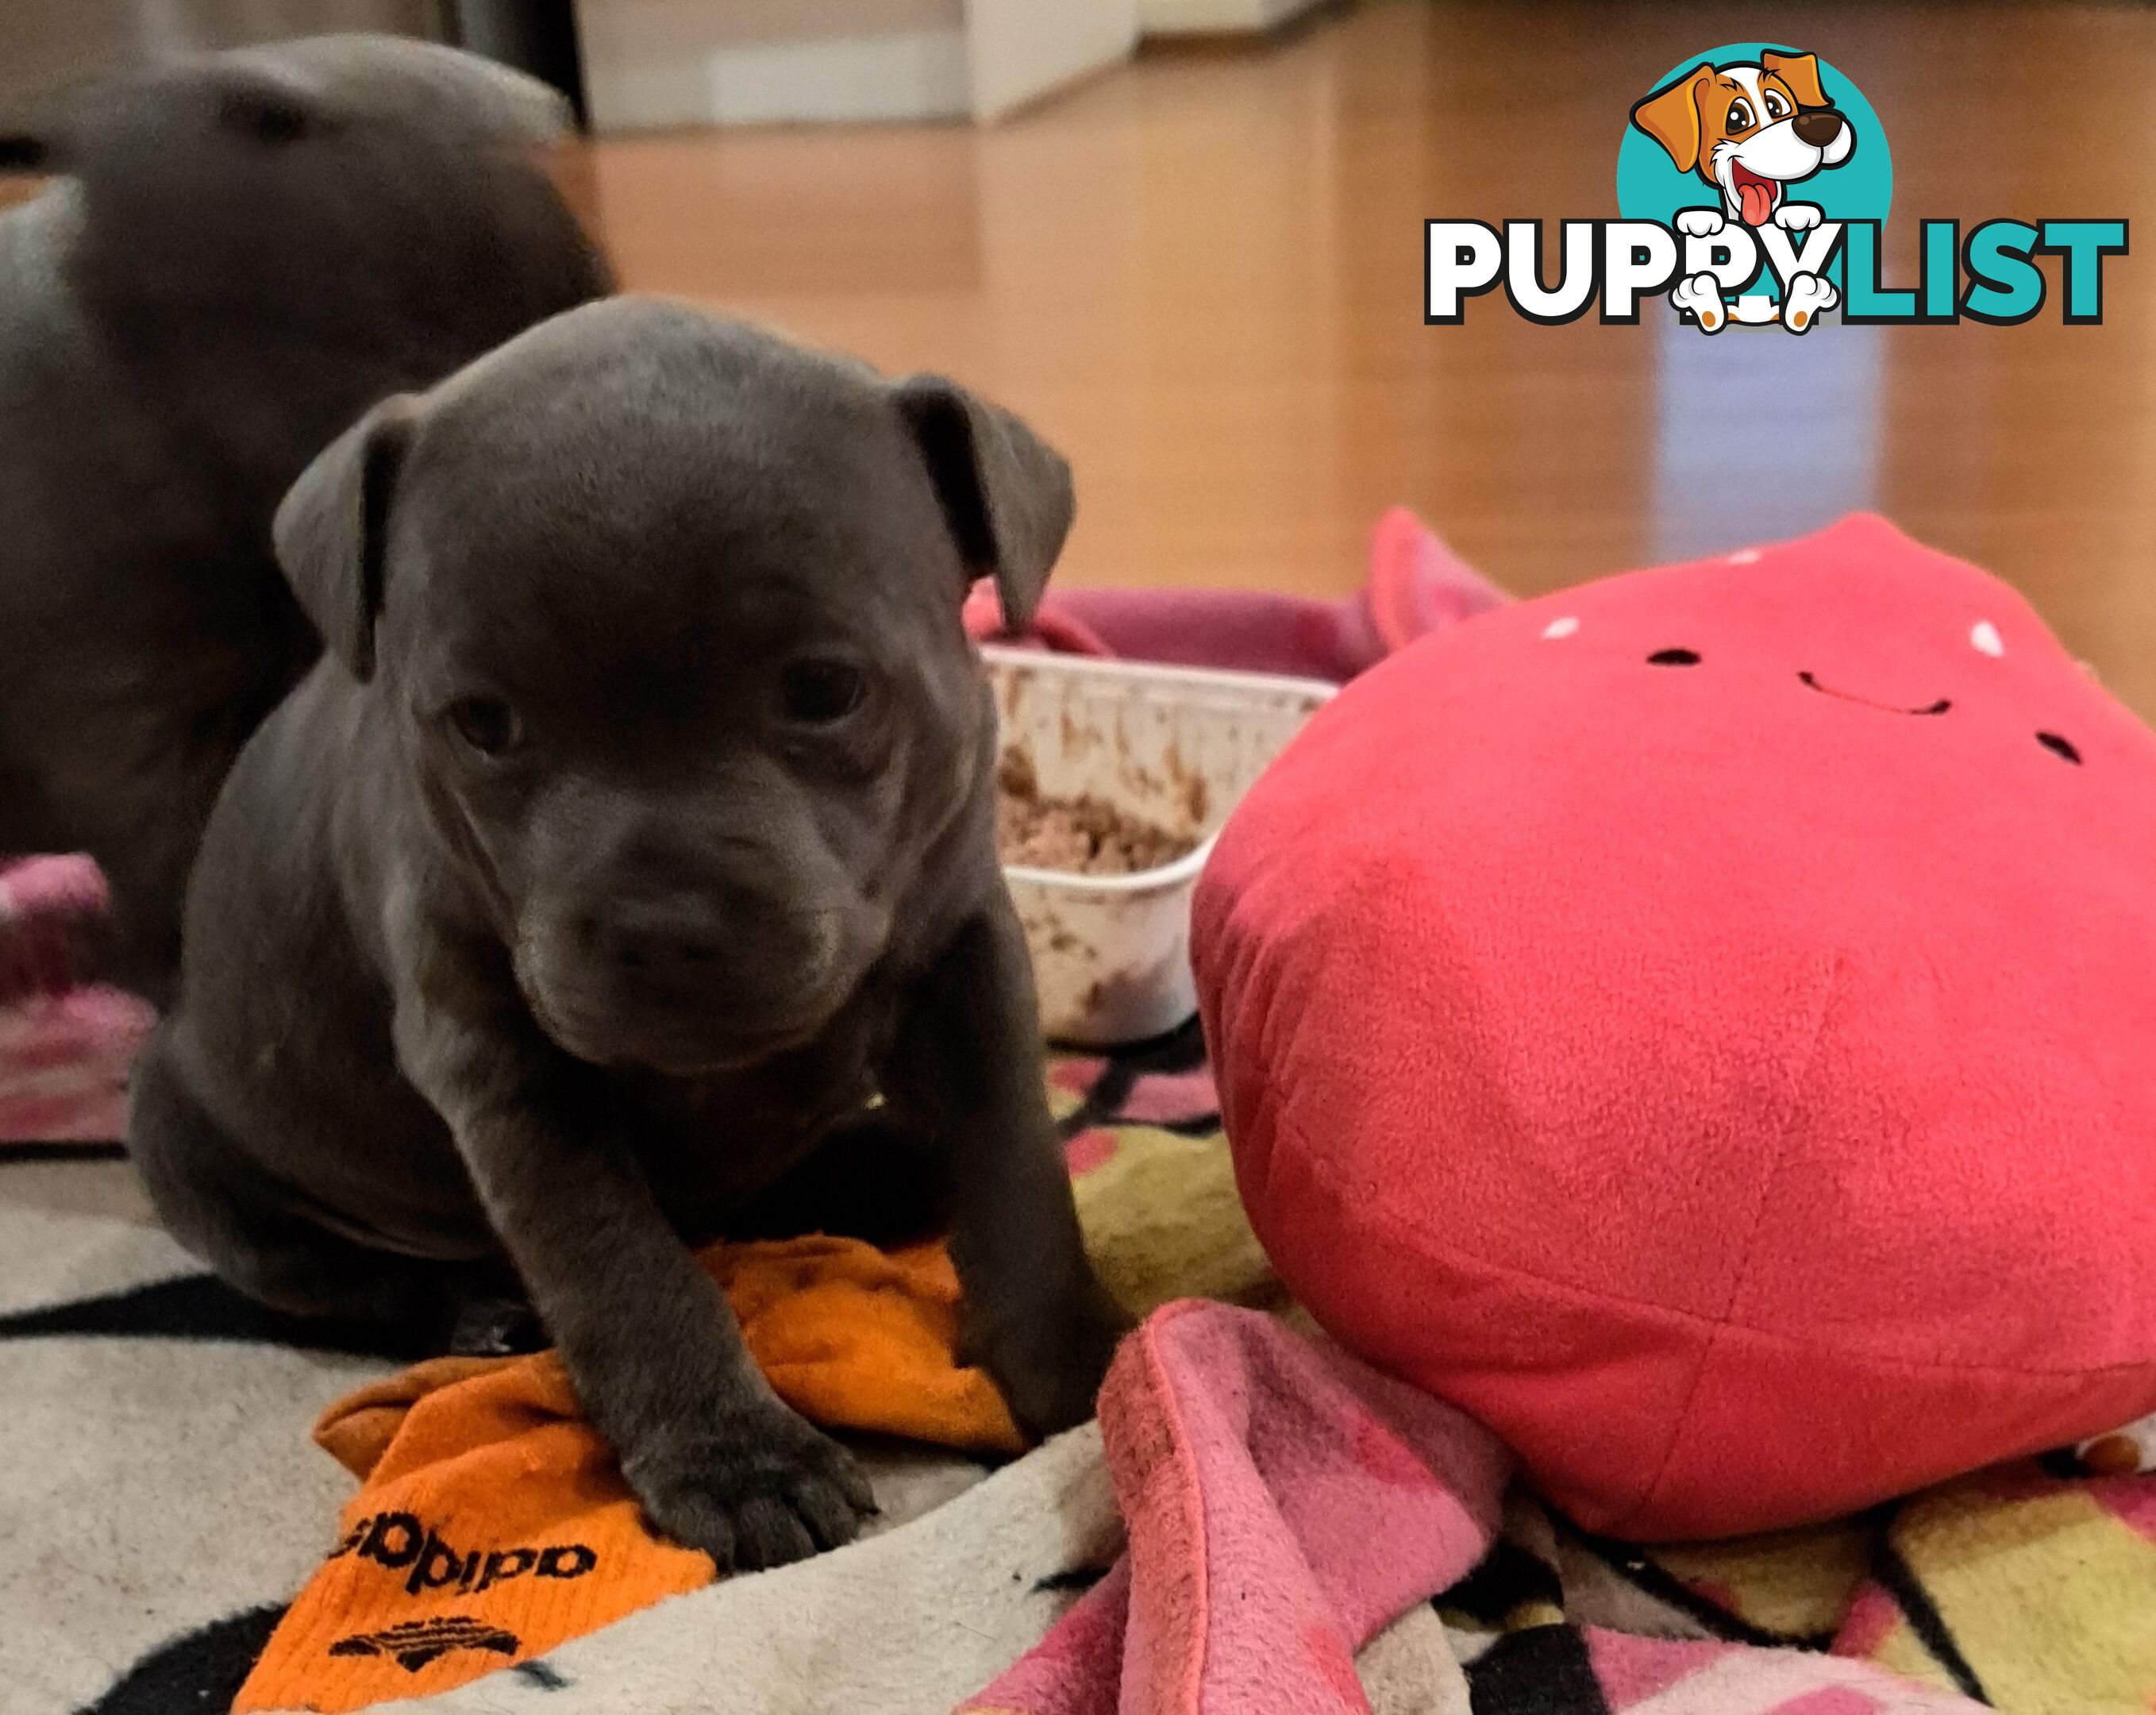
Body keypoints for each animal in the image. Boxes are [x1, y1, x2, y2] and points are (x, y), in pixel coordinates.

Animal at [130, 297, 1130, 1570]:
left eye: (824, 690)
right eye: (483, 724)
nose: (661, 928)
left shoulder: (968, 956)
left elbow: (1016, 1167)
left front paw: (1082, 1367)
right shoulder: (504, 1070)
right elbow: (622, 1269)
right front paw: (735, 1459)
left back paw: (875, 1164)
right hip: (189, 1147)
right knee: (344, 1273)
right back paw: (477, 1310)